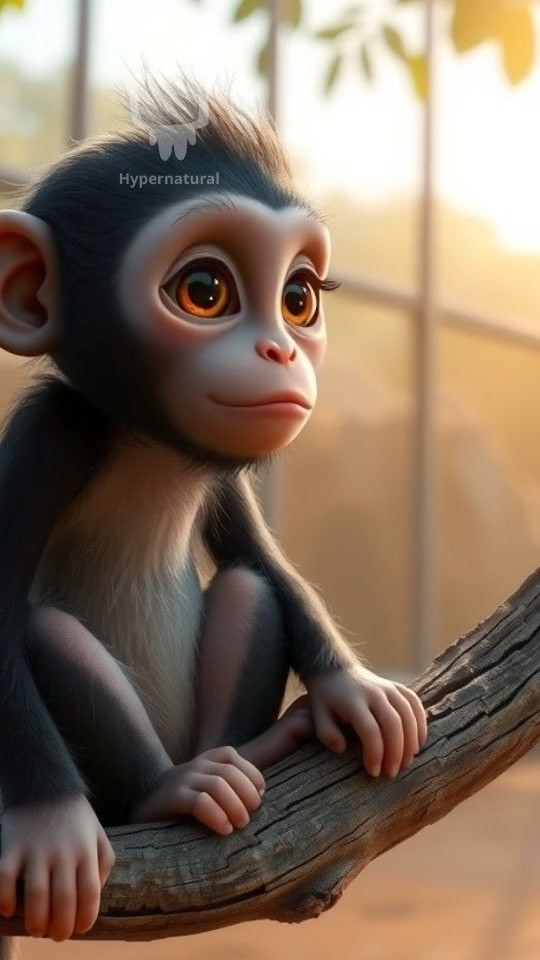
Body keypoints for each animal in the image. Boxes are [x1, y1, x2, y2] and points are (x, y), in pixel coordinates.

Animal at [0, 78, 427, 952]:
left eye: (298, 299)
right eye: (205, 292)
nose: (281, 350)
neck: (148, 441)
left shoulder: (220, 465)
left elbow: (259, 559)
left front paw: (356, 690)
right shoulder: (45, 436)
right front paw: (49, 827)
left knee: (247, 590)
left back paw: (252, 748)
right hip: (123, 783)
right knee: (48, 634)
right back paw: (168, 789)